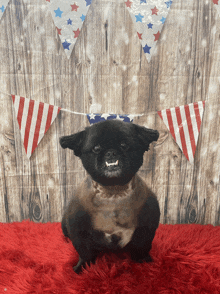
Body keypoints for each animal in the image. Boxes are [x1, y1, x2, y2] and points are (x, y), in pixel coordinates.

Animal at [59, 119, 160, 274]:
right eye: (96, 148)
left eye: (124, 145)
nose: (111, 152)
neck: (113, 192)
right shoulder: (78, 229)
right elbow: (85, 252)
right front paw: (83, 266)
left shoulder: (147, 227)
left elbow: (141, 246)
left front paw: (143, 260)